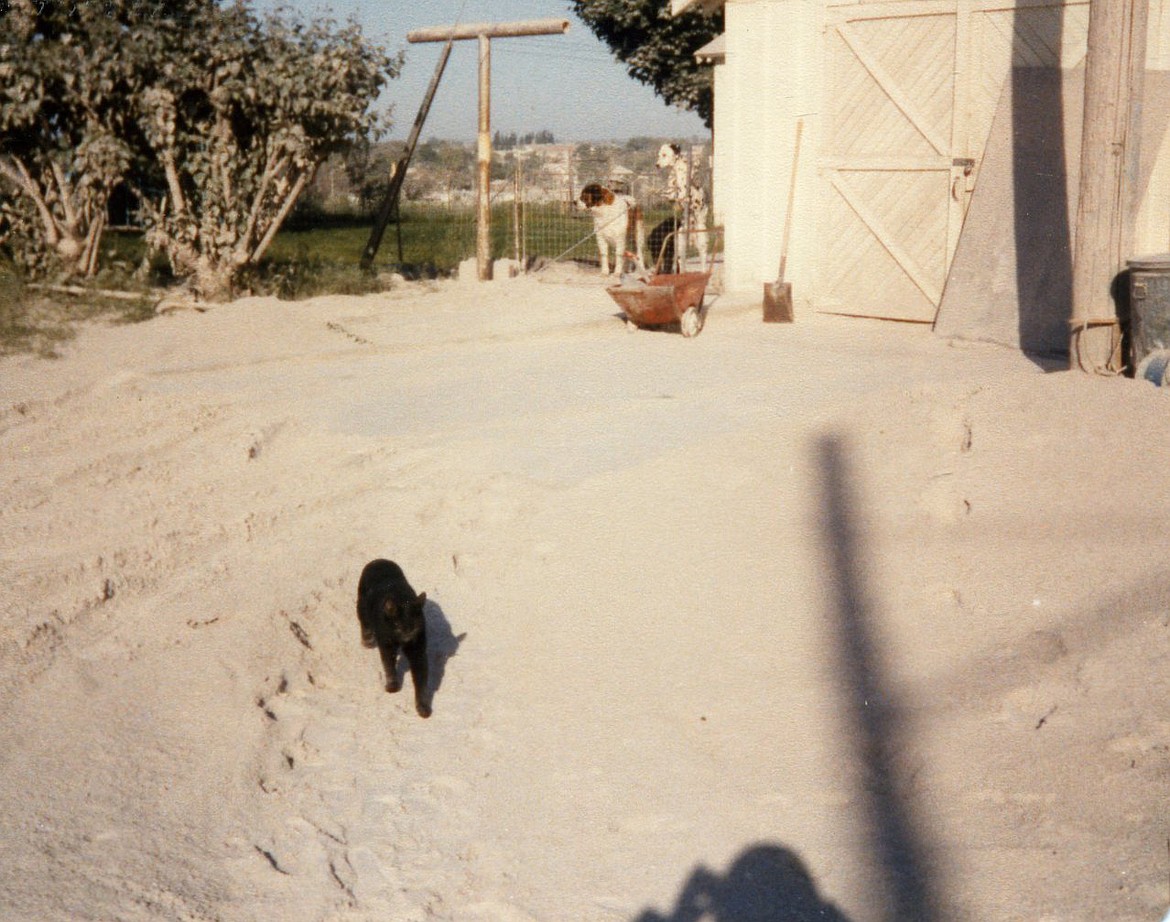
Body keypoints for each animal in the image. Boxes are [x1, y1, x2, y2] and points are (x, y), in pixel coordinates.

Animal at [355, 559, 435, 716]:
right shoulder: (386, 645)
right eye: (397, 625)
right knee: (365, 623)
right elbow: (389, 665)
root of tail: (379, 560)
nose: (408, 632)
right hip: (362, 605)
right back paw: (367, 641)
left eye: (415, 624)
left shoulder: (417, 650)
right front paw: (392, 686)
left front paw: (422, 707)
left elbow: (421, 680)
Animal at [655, 141, 706, 270]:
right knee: (681, 264)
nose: (656, 165)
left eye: (664, 155)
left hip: (702, 240)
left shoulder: (682, 193)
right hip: (680, 244)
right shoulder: (671, 193)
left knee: (703, 260)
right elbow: (665, 193)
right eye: (659, 155)